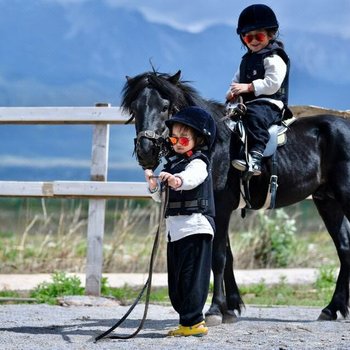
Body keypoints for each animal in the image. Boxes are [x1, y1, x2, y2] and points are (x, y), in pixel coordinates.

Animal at [121, 69, 350, 326]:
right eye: (134, 107)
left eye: (165, 106)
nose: (146, 151)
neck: (214, 144)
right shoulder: (220, 211)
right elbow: (228, 256)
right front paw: (231, 307)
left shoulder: (220, 209)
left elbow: (218, 257)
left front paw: (214, 310)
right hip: (328, 202)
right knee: (344, 247)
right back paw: (332, 308)